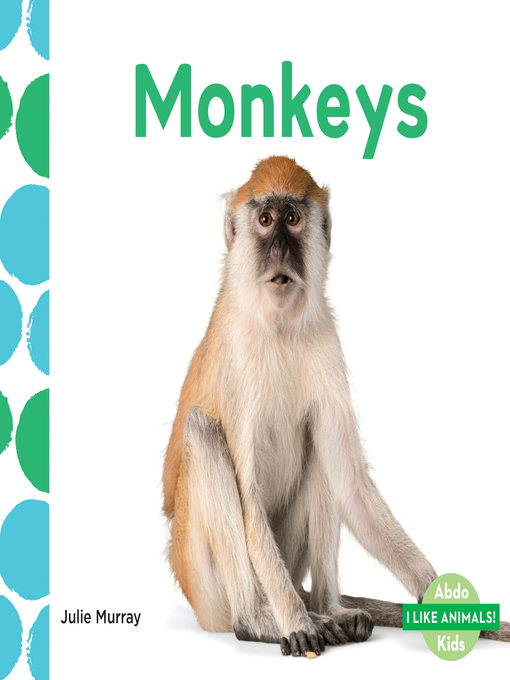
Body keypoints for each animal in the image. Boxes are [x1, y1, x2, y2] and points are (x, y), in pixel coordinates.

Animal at [162, 156, 510, 656]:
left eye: (292, 218)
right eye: (264, 220)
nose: (280, 251)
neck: (279, 325)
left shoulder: (325, 339)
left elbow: (350, 483)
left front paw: (443, 600)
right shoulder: (237, 359)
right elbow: (248, 500)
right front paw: (294, 622)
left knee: (320, 453)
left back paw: (331, 609)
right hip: (205, 583)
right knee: (203, 432)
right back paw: (261, 621)